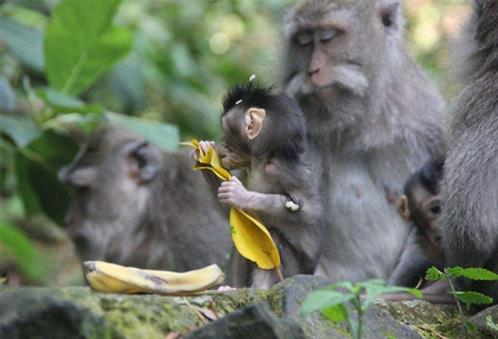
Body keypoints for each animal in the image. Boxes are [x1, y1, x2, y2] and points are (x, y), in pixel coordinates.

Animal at [195, 84, 326, 290]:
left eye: (226, 141)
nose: (221, 152)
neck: (258, 162)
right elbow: (231, 211)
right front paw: (205, 159)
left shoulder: (280, 171)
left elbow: (307, 212)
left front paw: (240, 195)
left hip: (290, 273)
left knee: (273, 235)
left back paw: (261, 288)